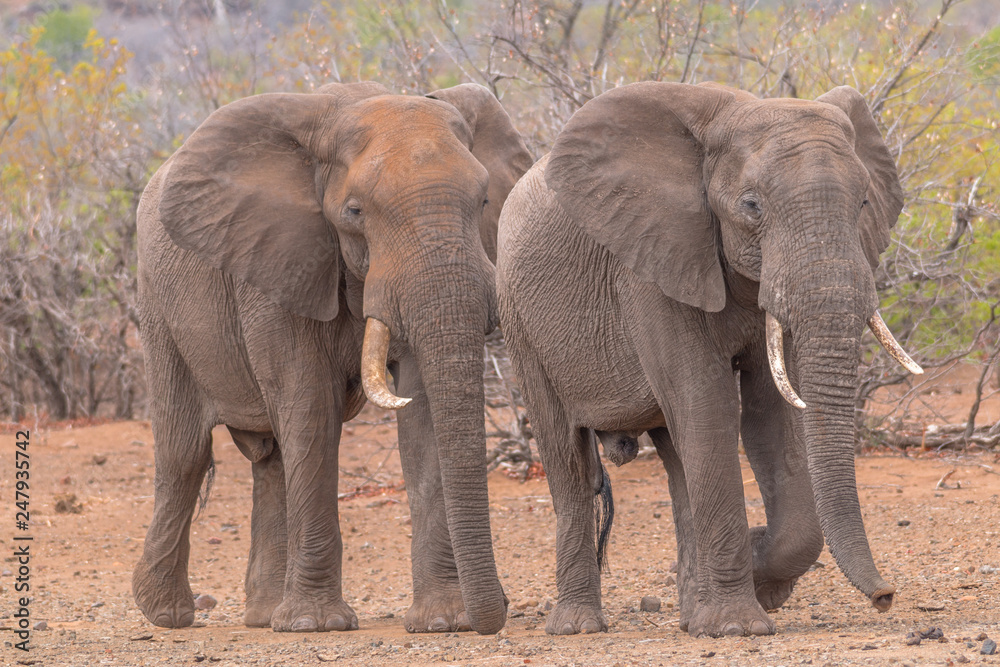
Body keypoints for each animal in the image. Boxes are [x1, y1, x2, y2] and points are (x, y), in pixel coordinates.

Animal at [133, 81, 533, 634]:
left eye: (484, 200)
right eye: (355, 212)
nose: (497, 613)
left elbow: (422, 413)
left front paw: (444, 621)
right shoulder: (279, 260)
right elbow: (309, 406)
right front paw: (315, 625)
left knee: (271, 459)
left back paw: (263, 615)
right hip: (158, 304)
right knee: (184, 452)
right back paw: (167, 614)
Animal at [495, 81, 922, 638]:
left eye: (865, 200)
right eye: (752, 205)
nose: (885, 598)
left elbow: (773, 416)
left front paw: (756, 586)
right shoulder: (652, 264)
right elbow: (708, 405)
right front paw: (740, 626)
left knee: (677, 456)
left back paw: (691, 611)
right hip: (520, 323)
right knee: (567, 457)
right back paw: (579, 627)